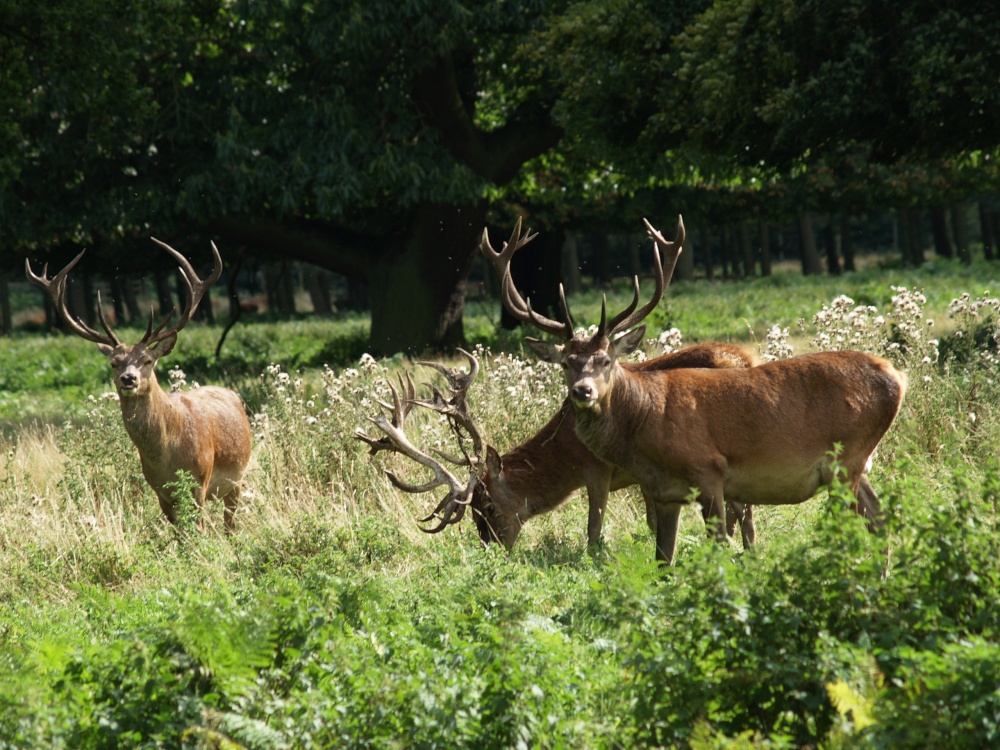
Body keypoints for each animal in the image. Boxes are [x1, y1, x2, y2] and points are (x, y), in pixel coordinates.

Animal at [27, 242, 250, 536]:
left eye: (147, 360)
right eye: (114, 362)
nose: (128, 379)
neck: (168, 457)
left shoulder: (199, 482)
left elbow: (199, 532)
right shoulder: (160, 491)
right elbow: (181, 537)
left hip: (237, 479)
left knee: (230, 524)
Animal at [360, 348, 756, 552]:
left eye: (489, 506)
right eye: (472, 512)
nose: (491, 550)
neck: (566, 450)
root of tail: (744, 358)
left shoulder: (599, 470)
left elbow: (596, 526)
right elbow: (652, 520)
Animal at [480, 217, 912, 564]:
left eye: (605, 360)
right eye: (566, 363)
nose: (582, 392)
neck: (645, 424)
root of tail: (899, 377)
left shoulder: (708, 470)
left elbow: (714, 545)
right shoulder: (663, 491)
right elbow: (661, 560)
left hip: (846, 457)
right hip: (856, 465)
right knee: (881, 521)